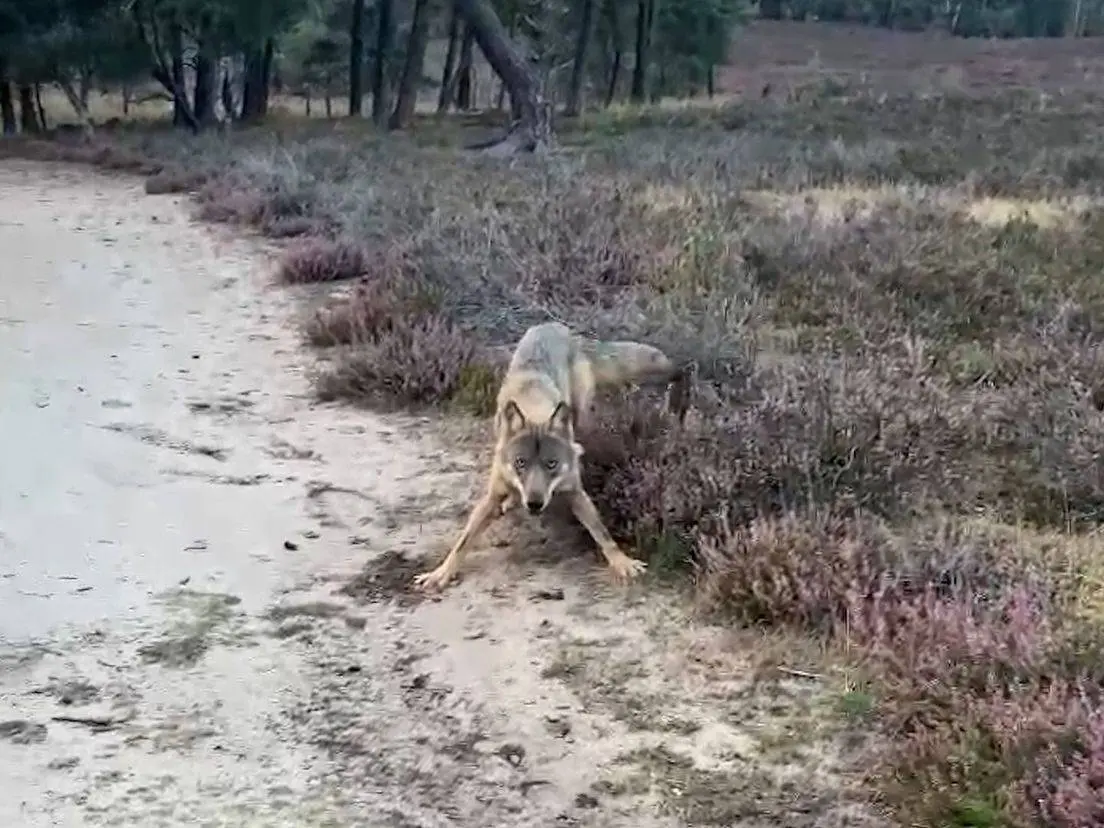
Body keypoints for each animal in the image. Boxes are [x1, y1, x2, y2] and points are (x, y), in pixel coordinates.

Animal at [413, 321, 690, 592]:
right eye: (520, 463)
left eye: (552, 464)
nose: (535, 504)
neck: (534, 404)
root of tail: (559, 327)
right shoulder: (492, 496)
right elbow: (463, 542)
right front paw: (441, 573)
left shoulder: (575, 492)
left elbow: (602, 534)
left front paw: (622, 562)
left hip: (579, 412)